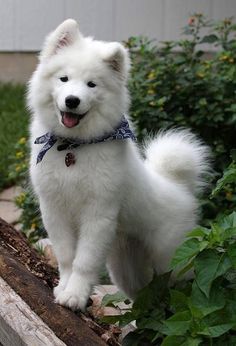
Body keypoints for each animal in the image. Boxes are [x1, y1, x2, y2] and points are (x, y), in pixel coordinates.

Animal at [28, 18, 210, 310]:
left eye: (91, 84)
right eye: (64, 78)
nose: (72, 100)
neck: (74, 148)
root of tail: (177, 186)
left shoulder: (98, 213)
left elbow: (83, 261)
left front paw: (75, 295)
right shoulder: (54, 209)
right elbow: (66, 256)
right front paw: (63, 287)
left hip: (173, 258)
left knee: (184, 285)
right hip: (127, 268)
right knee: (146, 298)